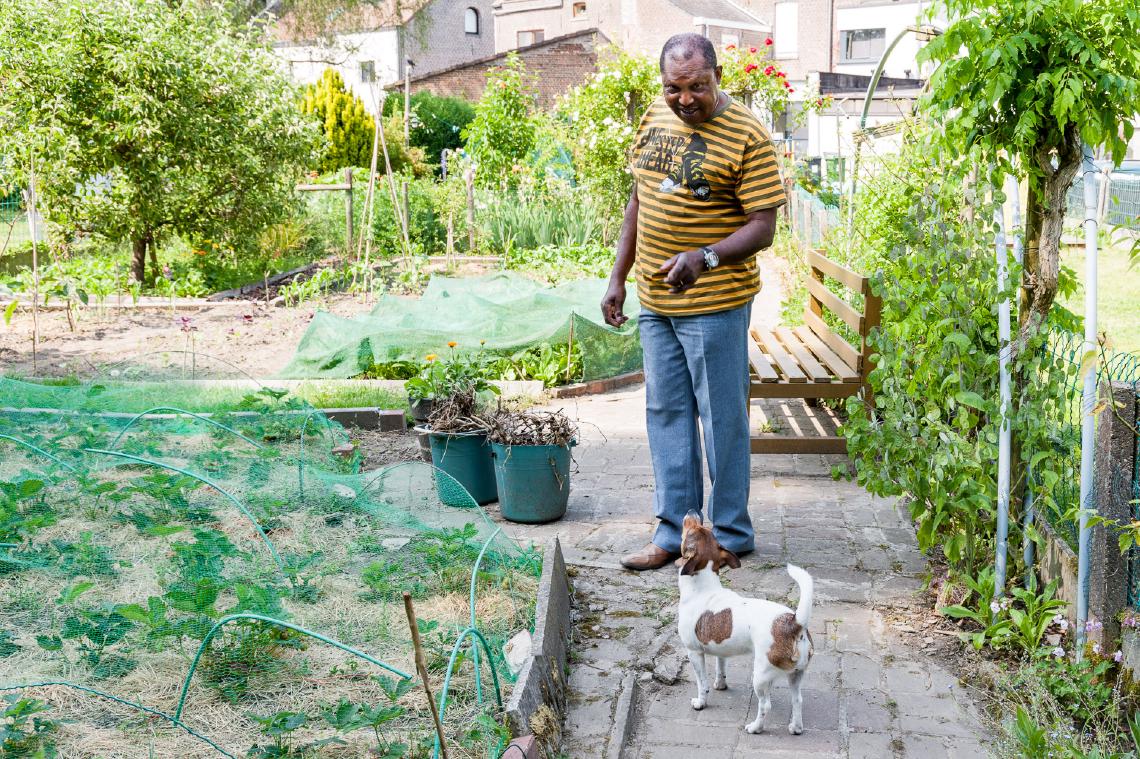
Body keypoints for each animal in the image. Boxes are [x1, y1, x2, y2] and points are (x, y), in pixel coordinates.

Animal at [670, 510, 816, 729]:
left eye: (690, 530)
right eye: (705, 529)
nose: (691, 511)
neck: (703, 587)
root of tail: (794, 622)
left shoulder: (694, 653)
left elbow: (702, 684)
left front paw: (701, 703)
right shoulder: (720, 649)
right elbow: (721, 668)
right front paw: (721, 685)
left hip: (761, 676)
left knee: (765, 705)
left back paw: (755, 728)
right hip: (796, 675)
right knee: (797, 700)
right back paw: (795, 728)